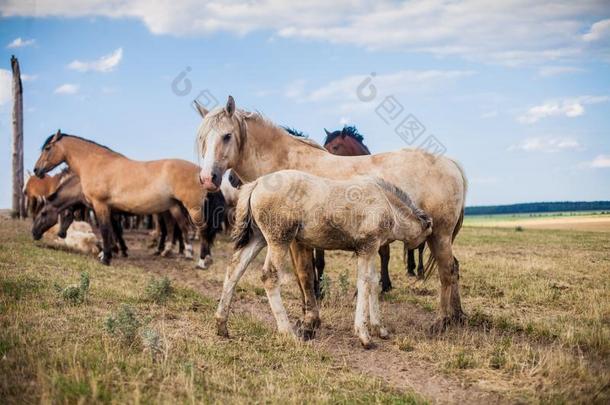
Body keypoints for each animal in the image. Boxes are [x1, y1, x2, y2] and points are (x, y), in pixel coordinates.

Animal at [31, 131, 221, 266]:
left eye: (47, 148)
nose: (36, 170)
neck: (96, 164)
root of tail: (203, 173)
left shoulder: (101, 205)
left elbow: (106, 230)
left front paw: (106, 258)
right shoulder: (109, 209)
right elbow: (112, 231)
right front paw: (110, 252)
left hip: (192, 208)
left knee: (199, 230)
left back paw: (201, 260)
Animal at [216, 169, 430, 346]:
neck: (385, 201)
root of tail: (257, 183)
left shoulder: (370, 249)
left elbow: (373, 283)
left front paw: (380, 329)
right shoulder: (367, 247)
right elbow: (364, 284)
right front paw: (364, 335)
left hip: (258, 237)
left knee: (235, 268)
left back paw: (221, 325)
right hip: (280, 239)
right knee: (270, 276)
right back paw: (287, 332)